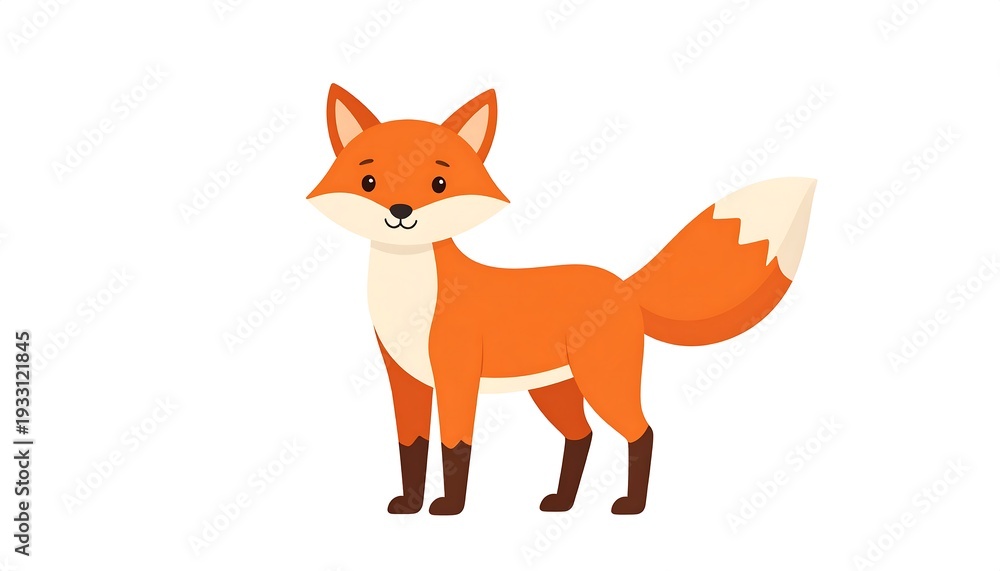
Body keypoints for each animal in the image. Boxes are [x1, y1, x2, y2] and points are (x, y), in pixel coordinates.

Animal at [307, 84, 815, 515]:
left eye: (439, 185)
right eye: (369, 182)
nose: (400, 212)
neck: (410, 296)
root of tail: (621, 285)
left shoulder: (456, 375)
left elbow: (455, 447)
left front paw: (449, 508)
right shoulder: (405, 379)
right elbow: (411, 449)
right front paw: (410, 506)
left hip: (602, 382)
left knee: (642, 432)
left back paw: (632, 506)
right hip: (554, 389)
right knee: (582, 436)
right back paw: (563, 502)